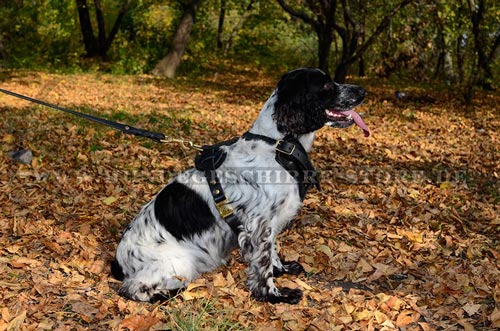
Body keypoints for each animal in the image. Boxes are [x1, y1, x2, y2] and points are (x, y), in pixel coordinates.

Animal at [111, 68, 370, 304]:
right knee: (134, 289)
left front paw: (282, 270)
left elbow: (271, 253)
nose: (362, 91)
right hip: (178, 263)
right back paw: (167, 294)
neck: (278, 147)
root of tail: (118, 261)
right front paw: (275, 295)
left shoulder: (269, 223)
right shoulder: (259, 224)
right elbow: (263, 265)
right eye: (326, 85)